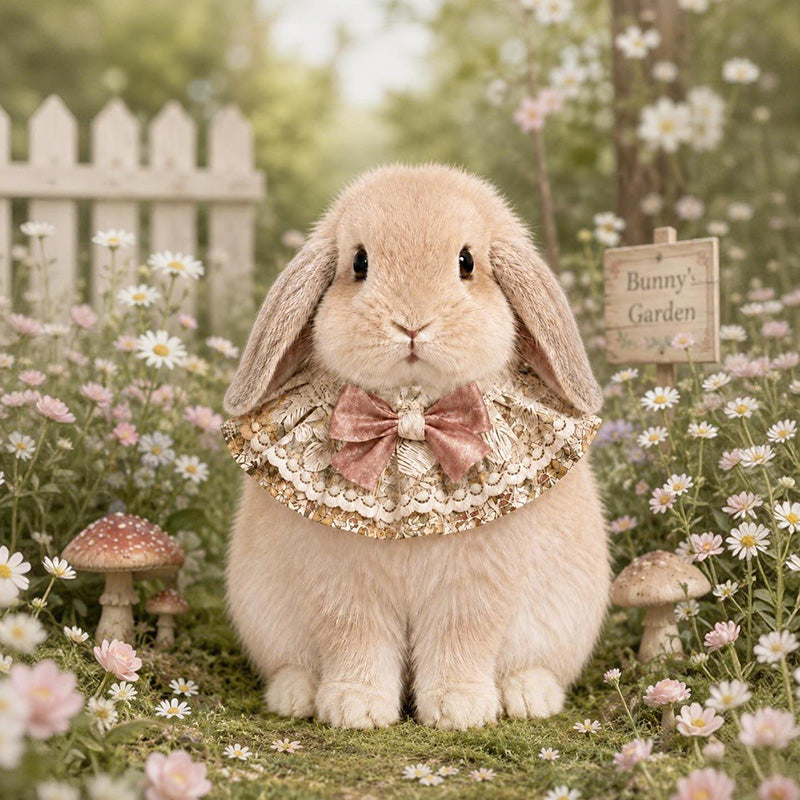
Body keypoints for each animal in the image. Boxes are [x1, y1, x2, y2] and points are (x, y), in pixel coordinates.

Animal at [224, 163, 610, 730]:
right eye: (359, 262)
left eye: (466, 262)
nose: (411, 324)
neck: (414, 411)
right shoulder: (344, 589)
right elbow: (354, 639)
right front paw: (356, 707)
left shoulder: (474, 590)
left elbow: (462, 640)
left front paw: (459, 708)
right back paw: (295, 696)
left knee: (533, 666)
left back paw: (529, 697)